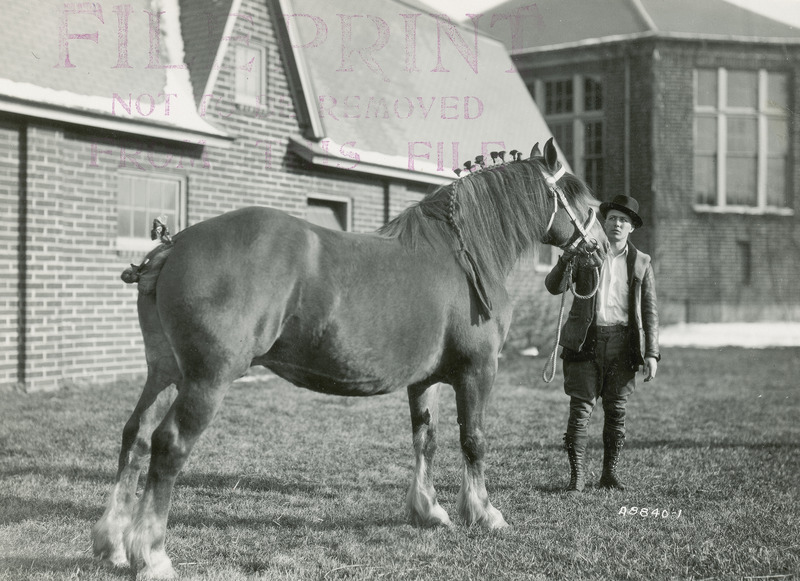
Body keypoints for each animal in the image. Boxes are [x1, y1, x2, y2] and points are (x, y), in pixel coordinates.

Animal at [94, 136, 608, 576]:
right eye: (588, 205)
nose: (603, 249)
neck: (463, 256)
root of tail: (173, 244)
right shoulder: (478, 371)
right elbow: (473, 440)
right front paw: (484, 512)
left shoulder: (425, 380)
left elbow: (426, 439)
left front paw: (428, 510)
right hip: (206, 380)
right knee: (169, 445)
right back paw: (151, 555)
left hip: (165, 372)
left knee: (135, 436)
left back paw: (113, 542)